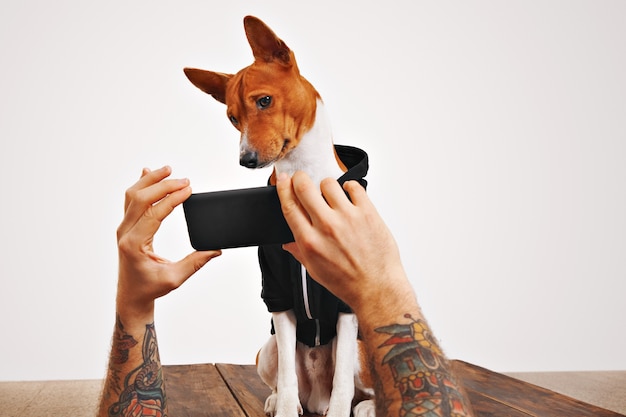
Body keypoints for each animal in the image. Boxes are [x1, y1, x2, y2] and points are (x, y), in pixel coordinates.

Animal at [183, 16, 372, 416]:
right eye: (232, 118)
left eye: (264, 100)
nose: (246, 159)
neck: (303, 178)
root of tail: (315, 396)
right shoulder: (277, 295)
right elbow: (286, 378)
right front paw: (283, 406)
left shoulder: (348, 301)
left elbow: (343, 383)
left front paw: (341, 409)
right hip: (265, 350)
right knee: (287, 381)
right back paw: (276, 401)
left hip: (361, 353)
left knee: (358, 387)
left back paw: (362, 406)